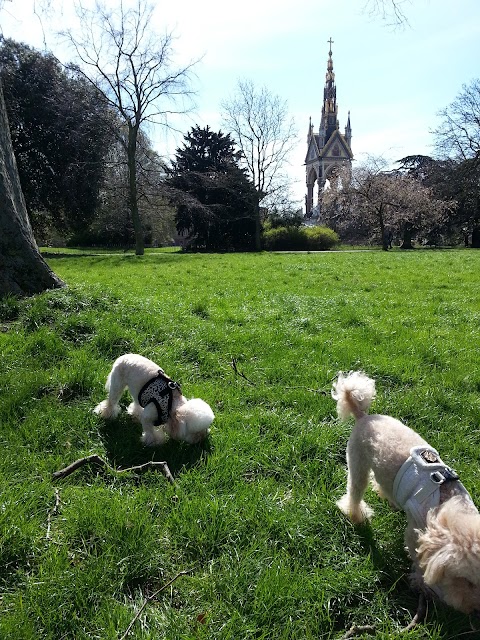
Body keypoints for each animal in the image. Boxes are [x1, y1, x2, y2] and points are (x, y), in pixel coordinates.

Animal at [332, 370, 480, 616]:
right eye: (465, 581)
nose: (472, 609)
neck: (447, 502)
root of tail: (364, 416)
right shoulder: (416, 531)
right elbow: (419, 560)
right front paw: (423, 585)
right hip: (358, 462)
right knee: (354, 491)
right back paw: (356, 515)